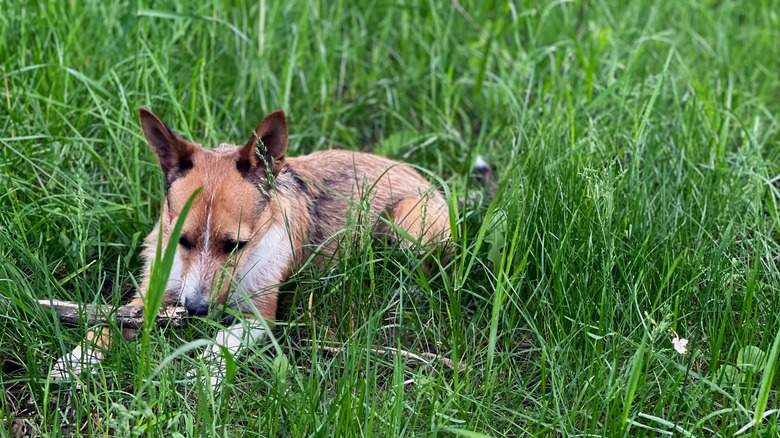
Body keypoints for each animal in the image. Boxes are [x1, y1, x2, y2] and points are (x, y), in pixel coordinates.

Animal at [51, 108, 450, 388]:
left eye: (235, 245)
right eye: (182, 240)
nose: (195, 310)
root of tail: (421, 176)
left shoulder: (258, 315)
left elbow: (224, 339)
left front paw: (205, 371)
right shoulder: (150, 294)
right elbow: (108, 321)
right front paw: (76, 359)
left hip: (408, 221)